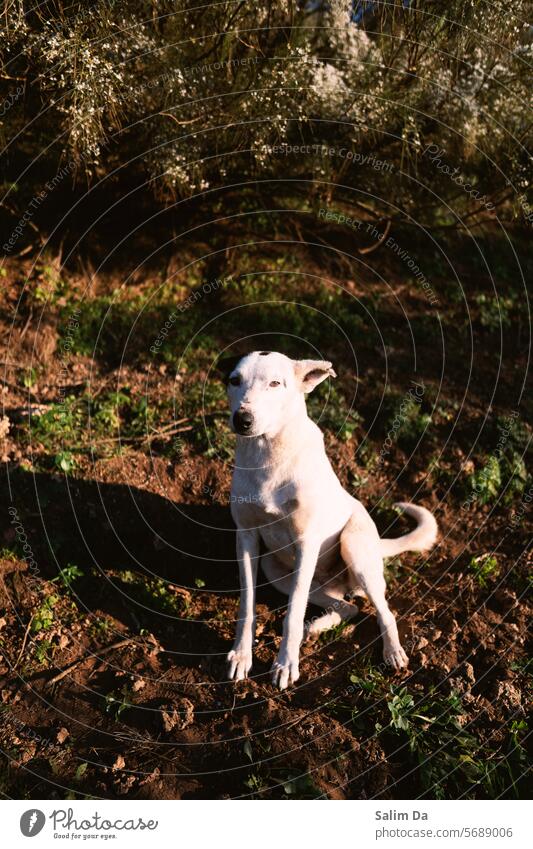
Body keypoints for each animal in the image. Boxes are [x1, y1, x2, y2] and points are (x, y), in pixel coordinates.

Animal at [222, 352, 434, 688]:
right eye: (234, 380)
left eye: (275, 383)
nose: (242, 419)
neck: (268, 453)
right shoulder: (246, 537)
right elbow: (247, 603)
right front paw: (241, 656)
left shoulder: (306, 543)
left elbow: (293, 613)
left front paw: (286, 663)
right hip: (276, 570)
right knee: (349, 608)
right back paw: (318, 627)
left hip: (354, 548)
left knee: (383, 611)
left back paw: (392, 652)